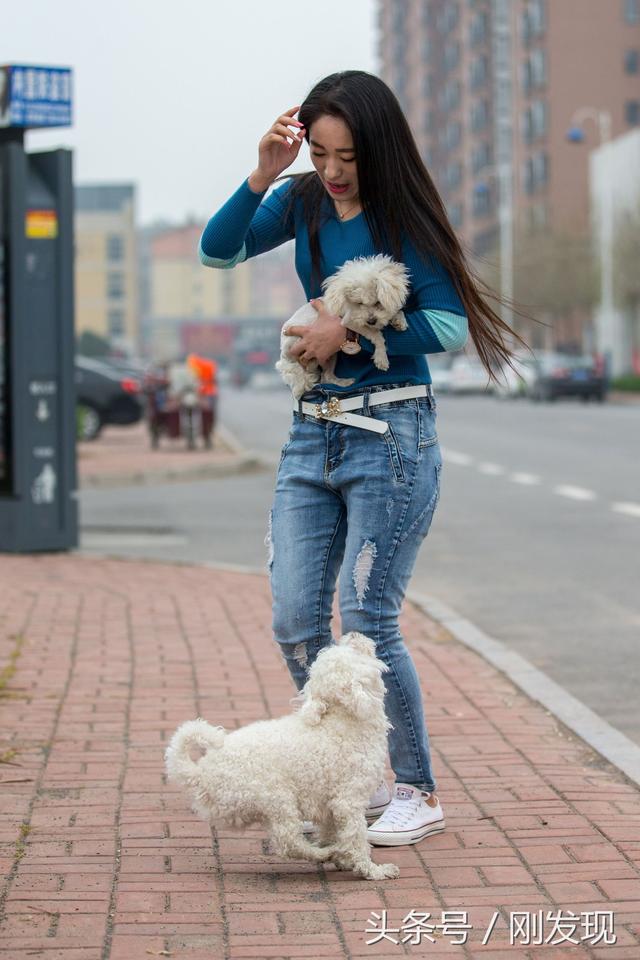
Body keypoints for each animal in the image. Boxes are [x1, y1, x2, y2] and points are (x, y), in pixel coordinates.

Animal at [168, 632, 402, 880]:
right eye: (353, 652)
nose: (354, 634)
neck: (340, 721)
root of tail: (200, 772)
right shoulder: (348, 801)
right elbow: (356, 839)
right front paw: (372, 870)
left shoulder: (329, 803)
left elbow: (334, 831)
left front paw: (343, 859)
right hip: (278, 798)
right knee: (287, 843)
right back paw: (323, 853)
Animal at [278, 253, 412, 400]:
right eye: (359, 303)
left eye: (378, 302)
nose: (371, 321)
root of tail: (283, 357)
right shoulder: (351, 321)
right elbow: (377, 335)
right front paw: (381, 357)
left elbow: (396, 311)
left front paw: (399, 320)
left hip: (330, 355)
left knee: (326, 376)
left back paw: (344, 382)